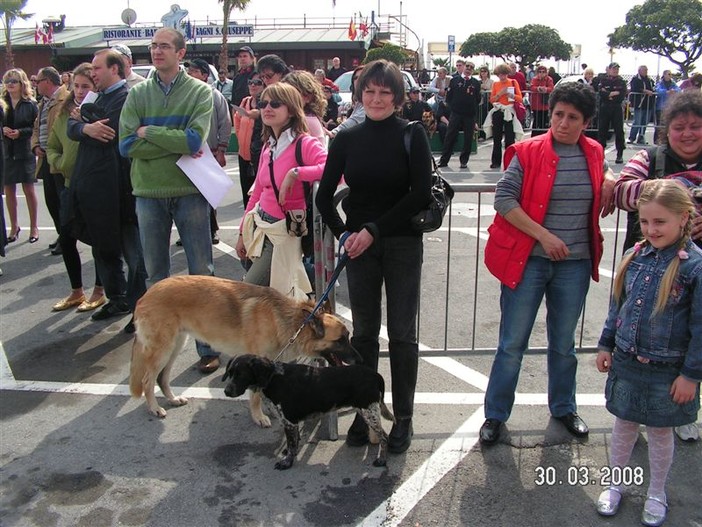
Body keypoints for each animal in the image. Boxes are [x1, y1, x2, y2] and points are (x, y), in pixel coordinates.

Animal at [129, 276, 360, 420]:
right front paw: (259, 417)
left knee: (162, 378)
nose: (360, 361)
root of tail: (144, 295)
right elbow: (256, 395)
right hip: (163, 350)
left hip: (175, 347)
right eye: (341, 340)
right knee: (148, 380)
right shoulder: (255, 362)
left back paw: (173, 399)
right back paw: (155, 408)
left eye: (348, 337)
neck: (287, 322)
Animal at [223, 354, 396, 470]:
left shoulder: (289, 421)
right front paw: (289, 452)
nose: (226, 391)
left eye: (241, 374)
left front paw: (287, 462)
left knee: (384, 437)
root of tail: (376, 375)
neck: (273, 377)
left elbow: (292, 444)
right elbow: (293, 441)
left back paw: (381, 460)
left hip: (369, 412)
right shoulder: (290, 422)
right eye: (229, 373)